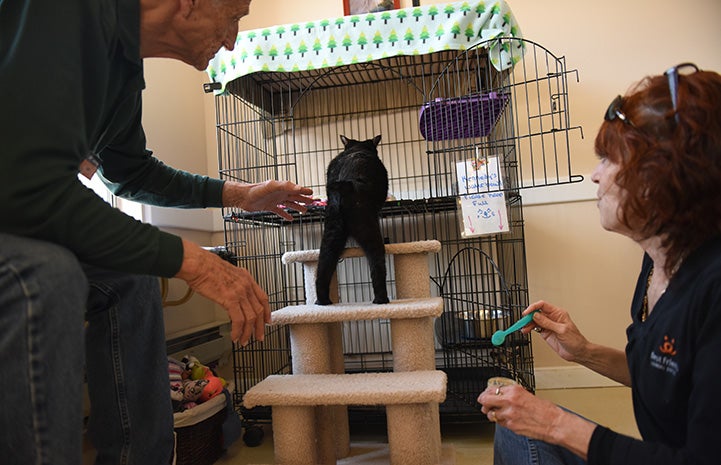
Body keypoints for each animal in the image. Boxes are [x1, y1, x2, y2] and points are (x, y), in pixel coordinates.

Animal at [316, 133, 390, 304]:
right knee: (377, 266)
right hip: (369, 231)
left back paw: (323, 302)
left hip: (331, 234)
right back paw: (382, 300)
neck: (357, 148)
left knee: (323, 268)